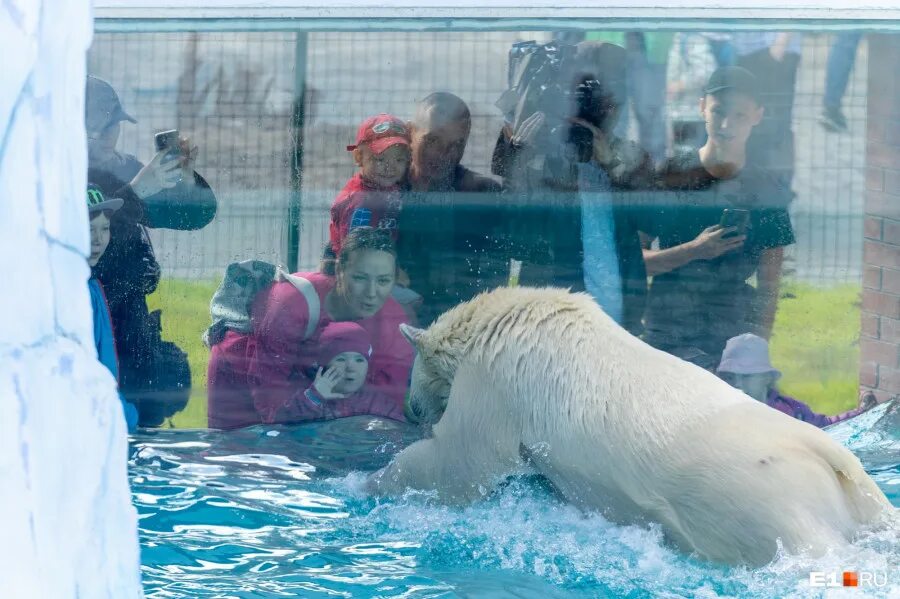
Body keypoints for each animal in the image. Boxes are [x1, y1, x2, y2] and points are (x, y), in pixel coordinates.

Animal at [368, 286, 892, 568]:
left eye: (412, 376)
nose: (412, 409)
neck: (504, 320)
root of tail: (834, 458)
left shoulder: (495, 384)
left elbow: (463, 460)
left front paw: (370, 482)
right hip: (853, 501)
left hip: (765, 499)